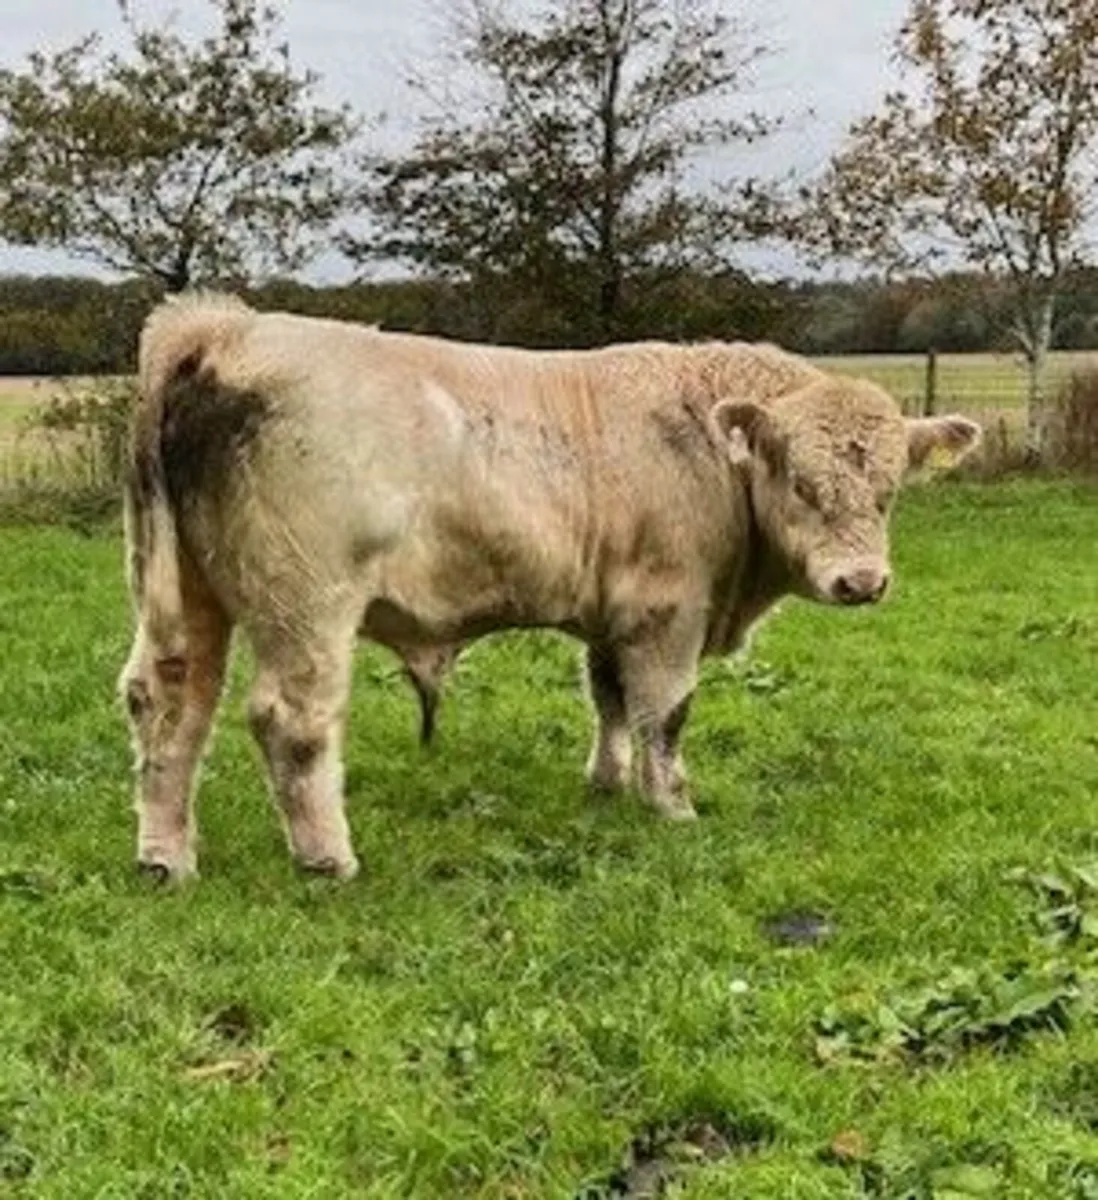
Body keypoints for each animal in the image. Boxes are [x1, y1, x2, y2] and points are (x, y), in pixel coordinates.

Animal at [119, 293, 980, 882]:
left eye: (889, 491)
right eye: (800, 482)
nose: (861, 581)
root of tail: (220, 328)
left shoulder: (614, 616)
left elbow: (610, 701)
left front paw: (606, 785)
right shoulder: (669, 612)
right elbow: (664, 715)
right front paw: (672, 807)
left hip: (189, 591)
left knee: (169, 701)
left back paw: (167, 858)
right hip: (307, 605)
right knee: (290, 722)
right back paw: (328, 858)